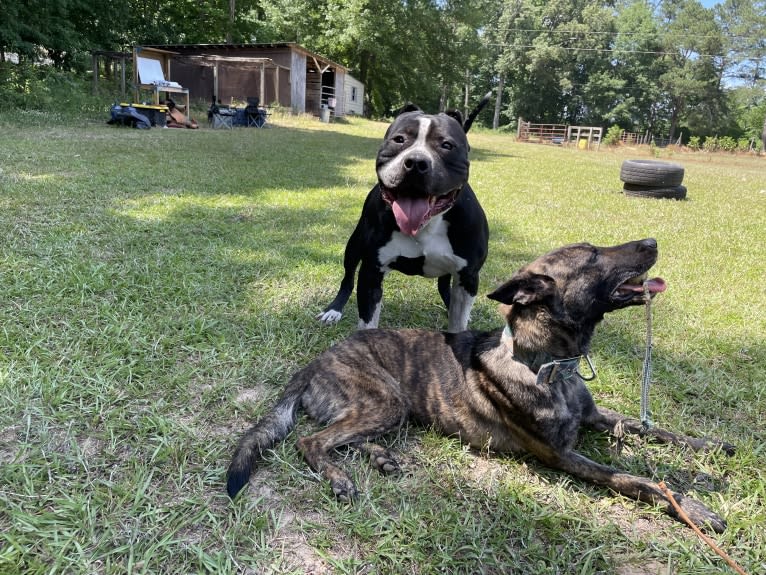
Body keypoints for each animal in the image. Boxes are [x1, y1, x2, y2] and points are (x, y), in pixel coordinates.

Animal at [225, 237, 736, 532]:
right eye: (593, 255)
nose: (652, 240)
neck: (546, 363)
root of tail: (314, 363)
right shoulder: (562, 457)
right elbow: (639, 480)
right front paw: (693, 508)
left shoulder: (597, 417)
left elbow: (648, 427)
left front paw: (712, 446)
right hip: (384, 401)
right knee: (312, 442)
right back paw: (338, 478)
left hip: (390, 410)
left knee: (342, 437)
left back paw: (381, 458)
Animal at [318, 94, 492, 332]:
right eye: (399, 139)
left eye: (447, 145)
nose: (416, 162)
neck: (425, 226)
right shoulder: (371, 272)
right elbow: (368, 322)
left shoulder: (469, 276)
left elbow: (458, 321)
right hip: (354, 246)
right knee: (347, 277)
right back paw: (334, 309)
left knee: (446, 288)